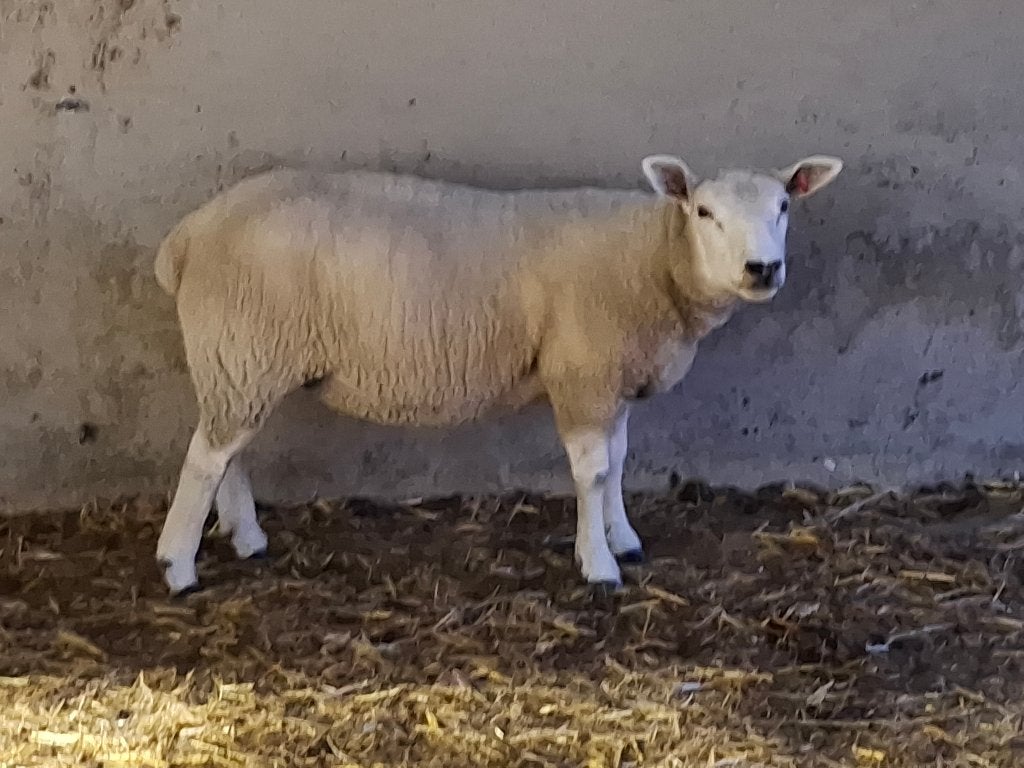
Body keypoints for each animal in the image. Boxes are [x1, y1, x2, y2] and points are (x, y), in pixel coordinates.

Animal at [153, 152, 842, 595]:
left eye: (785, 204)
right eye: (703, 212)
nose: (762, 269)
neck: (652, 258)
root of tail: (186, 235)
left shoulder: (611, 377)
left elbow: (619, 461)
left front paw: (623, 538)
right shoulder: (582, 371)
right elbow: (593, 473)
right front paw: (599, 565)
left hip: (241, 358)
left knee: (229, 451)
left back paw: (247, 537)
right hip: (243, 345)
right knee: (206, 459)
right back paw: (179, 568)